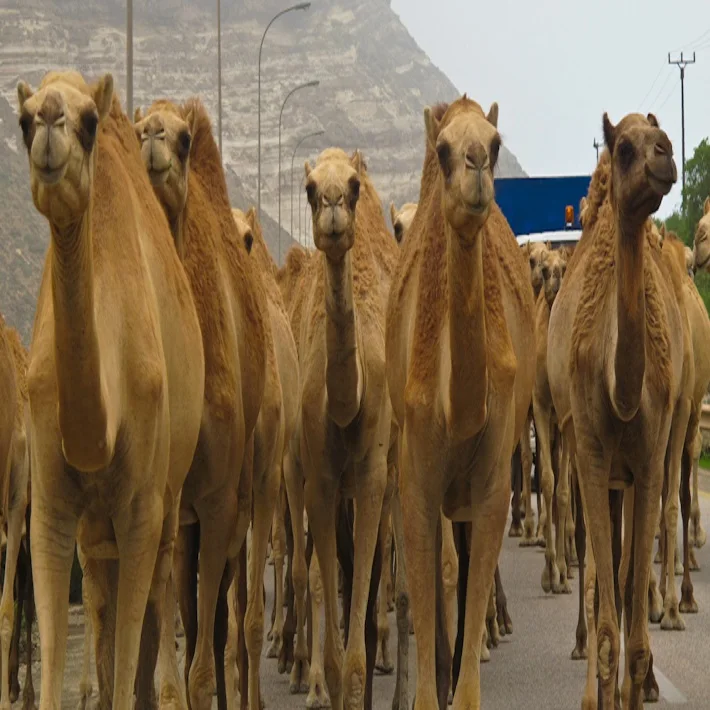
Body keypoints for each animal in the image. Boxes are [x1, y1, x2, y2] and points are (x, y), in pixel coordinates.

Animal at [17, 70, 204, 710]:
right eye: (20, 121)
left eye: (90, 123)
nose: (49, 117)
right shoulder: (49, 508)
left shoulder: (142, 505)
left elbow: (130, 653)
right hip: (95, 527)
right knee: (102, 592)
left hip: (169, 491)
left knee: (160, 587)